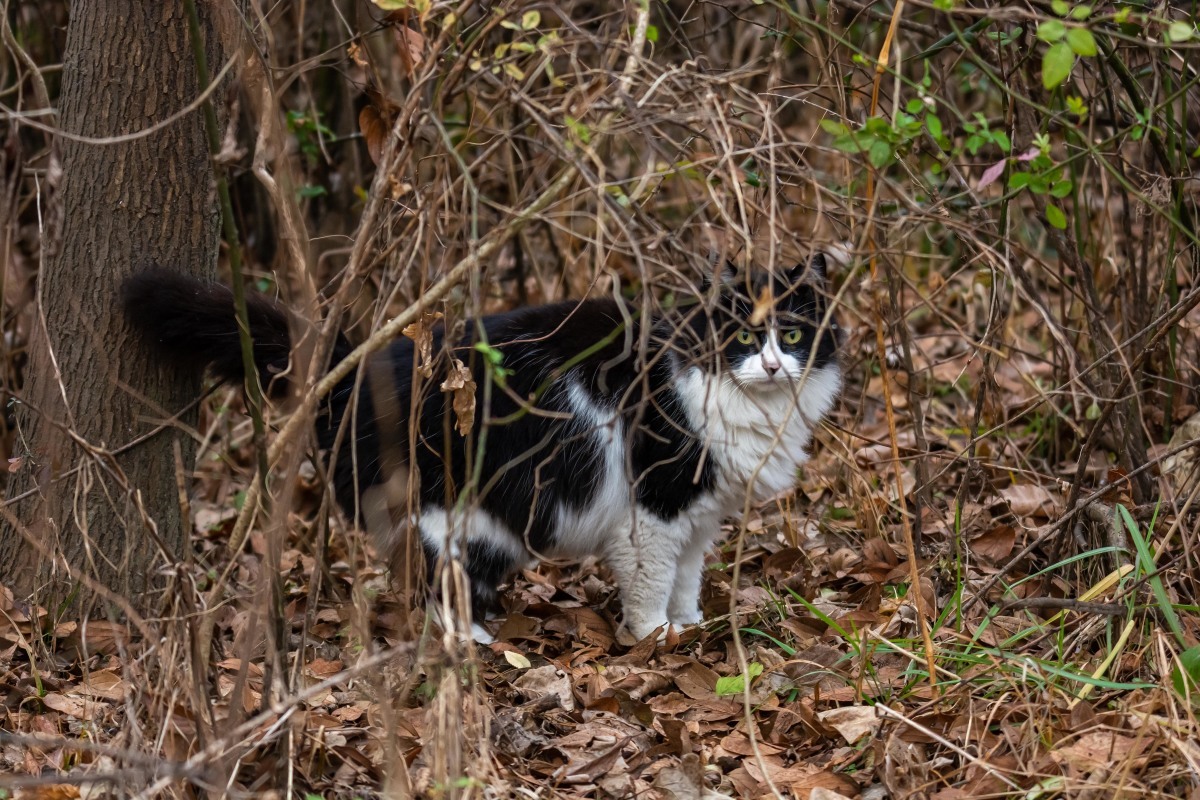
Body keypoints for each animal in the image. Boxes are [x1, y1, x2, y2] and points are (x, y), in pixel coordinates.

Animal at [117, 256, 840, 642]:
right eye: (742, 337)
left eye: (794, 334)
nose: (772, 365)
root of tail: (356, 372)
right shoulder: (653, 509)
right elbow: (652, 580)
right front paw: (654, 636)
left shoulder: (701, 512)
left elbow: (688, 576)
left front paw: (688, 625)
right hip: (457, 516)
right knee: (433, 582)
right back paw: (472, 640)